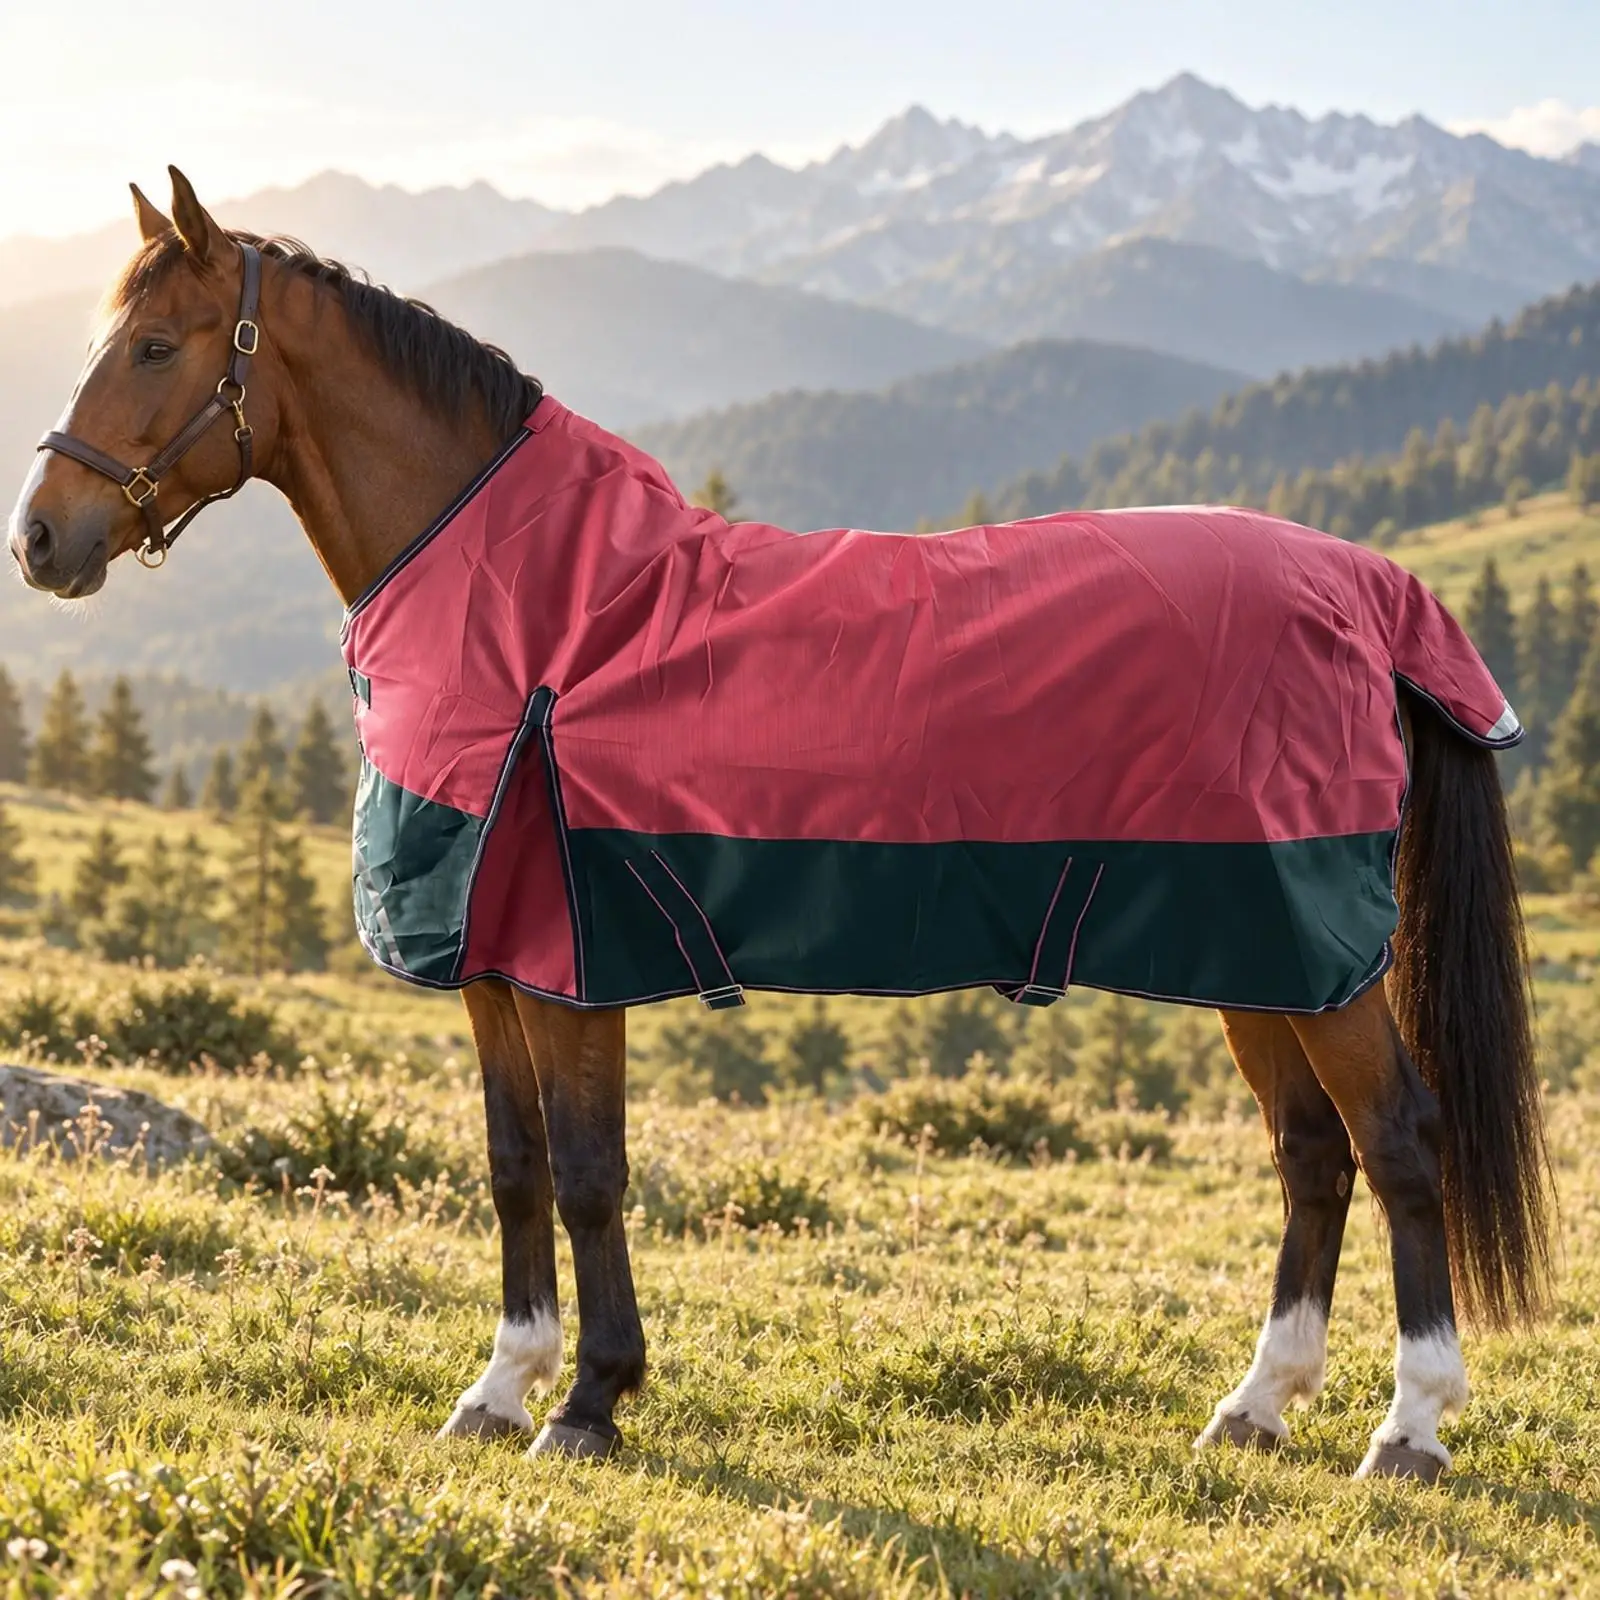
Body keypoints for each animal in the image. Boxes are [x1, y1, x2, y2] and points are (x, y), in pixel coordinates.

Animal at [7, 169, 1552, 1479]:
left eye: (156, 344)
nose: (40, 538)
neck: (538, 610)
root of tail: (1363, 586)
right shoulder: (498, 969)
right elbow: (513, 1169)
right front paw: (501, 1386)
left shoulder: (573, 962)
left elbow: (588, 1176)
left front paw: (588, 1402)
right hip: (1253, 951)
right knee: (1313, 1154)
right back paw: (1257, 1405)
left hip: (1315, 960)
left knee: (1398, 1141)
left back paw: (1411, 1427)